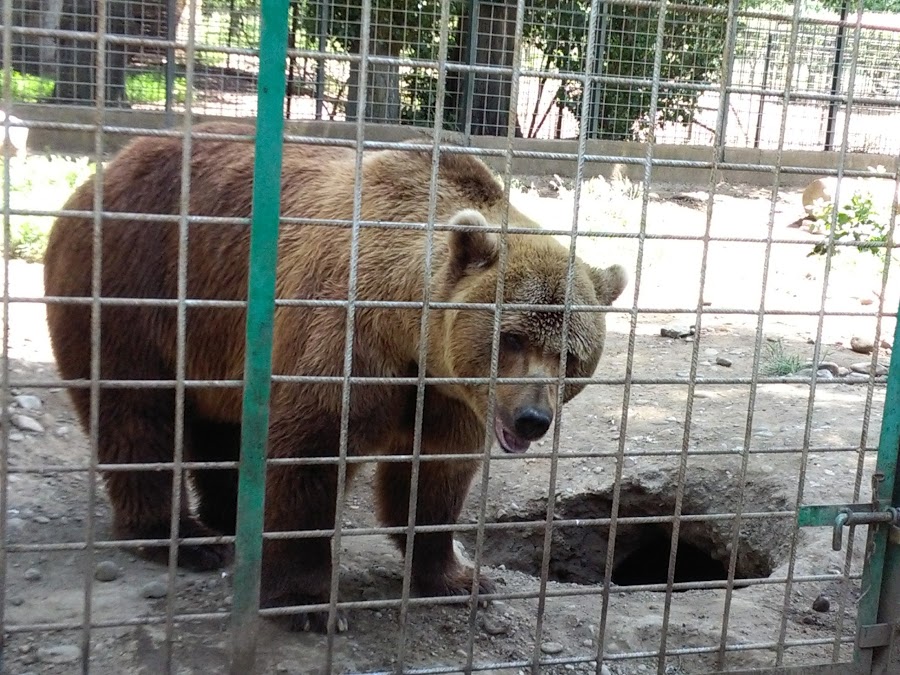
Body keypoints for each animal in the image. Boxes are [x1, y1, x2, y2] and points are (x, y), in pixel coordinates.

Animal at [42, 121, 628, 632]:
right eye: (512, 338)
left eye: (570, 355)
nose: (532, 417)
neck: (409, 329)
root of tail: (102, 173)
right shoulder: (348, 337)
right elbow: (311, 454)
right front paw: (307, 603)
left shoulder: (446, 394)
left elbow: (434, 476)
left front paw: (459, 578)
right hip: (136, 286)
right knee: (136, 414)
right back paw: (186, 539)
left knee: (219, 424)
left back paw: (231, 515)